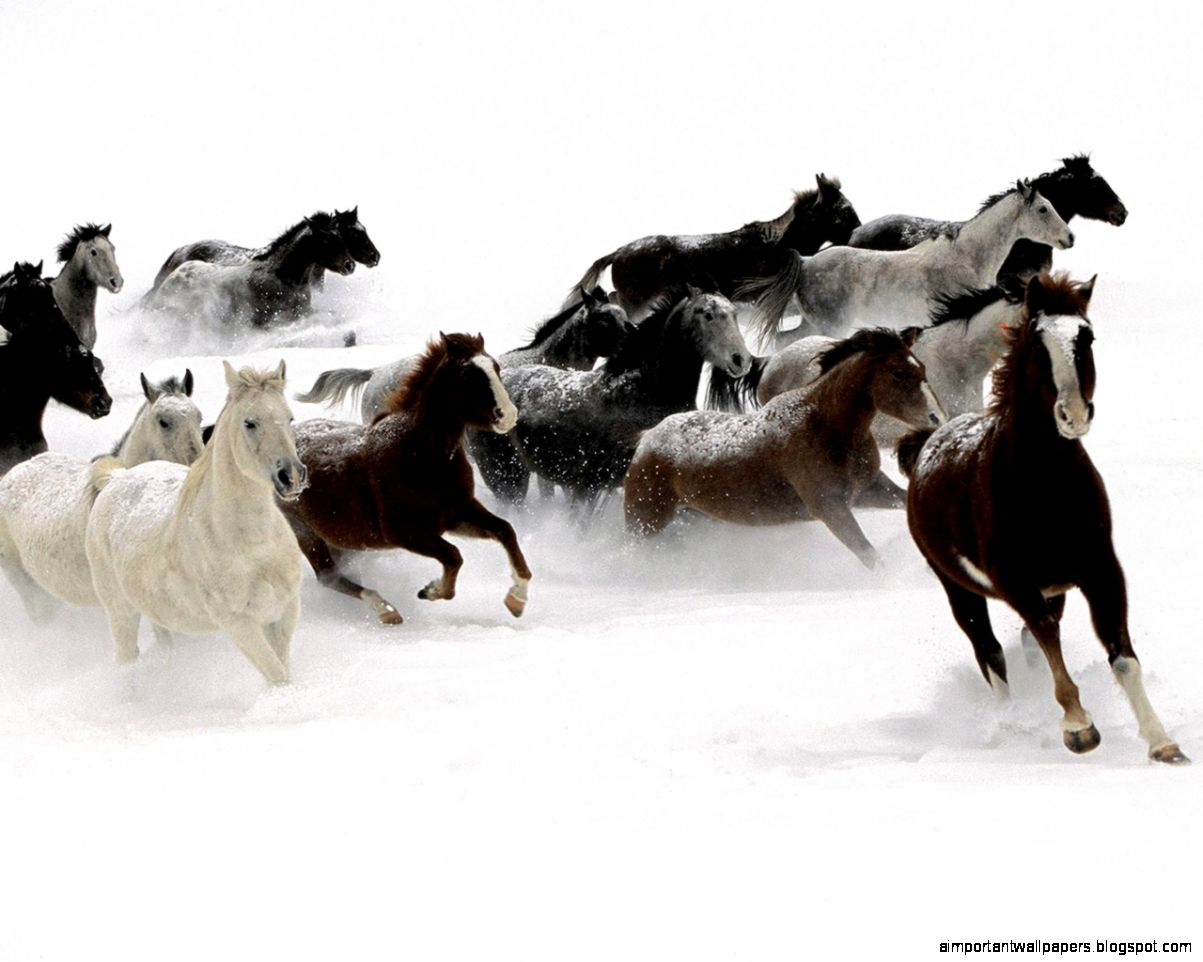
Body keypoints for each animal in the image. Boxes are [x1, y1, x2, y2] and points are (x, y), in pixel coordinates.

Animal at [85, 361, 307, 685]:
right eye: (249, 423)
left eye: (289, 417)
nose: (291, 476)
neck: (253, 545)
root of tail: (117, 478)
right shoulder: (239, 623)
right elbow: (278, 677)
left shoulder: (284, 611)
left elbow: (282, 671)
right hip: (120, 612)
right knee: (126, 658)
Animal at [278, 333, 530, 625]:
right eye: (468, 373)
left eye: (495, 367)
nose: (508, 415)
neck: (419, 456)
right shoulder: (405, 532)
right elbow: (454, 556)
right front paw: (431, 591)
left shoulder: (457, 513)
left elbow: (505, 530)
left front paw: (517, 599)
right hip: (305, 532)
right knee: (328, 577)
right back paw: (386, 610)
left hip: (339, 539)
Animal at [625, 328, 945, 566]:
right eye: (897, 373)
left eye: (922, 368)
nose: (937, 418)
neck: (825, 426)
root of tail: (647, 438)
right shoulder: (830, 507)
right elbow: (870, 556)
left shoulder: (868, 490)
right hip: (645, 521)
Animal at [744, 181, 1073, 342]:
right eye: (1043, 209)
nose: (1070, 237)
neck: (967, 259)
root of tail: (806, 263)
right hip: (830, 327)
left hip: (813, 325)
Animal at [901, 273, 1186, 764]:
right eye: (1037, 343)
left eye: (1086, 337)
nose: (1074, 415)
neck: (1046, 486)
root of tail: (924, 444)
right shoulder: (1014, 580)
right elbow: (1047, 639)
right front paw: (1079, 727)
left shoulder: (1100, 570)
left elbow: (1122, 655)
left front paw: (1162, 743)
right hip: (959, 589)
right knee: (990, 652)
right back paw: (1011, 722)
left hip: (1054, 588)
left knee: (1023, 645)